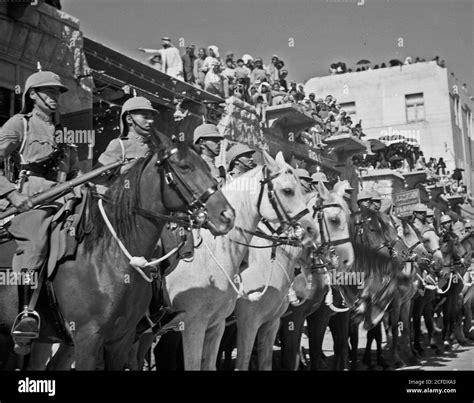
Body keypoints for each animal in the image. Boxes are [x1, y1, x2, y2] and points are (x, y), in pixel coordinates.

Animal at [0, 131, 236, 370]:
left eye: (206, 167)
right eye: (184, 166)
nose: (227, 215)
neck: (109, 259)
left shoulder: (121, 340)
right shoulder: (88, 339)